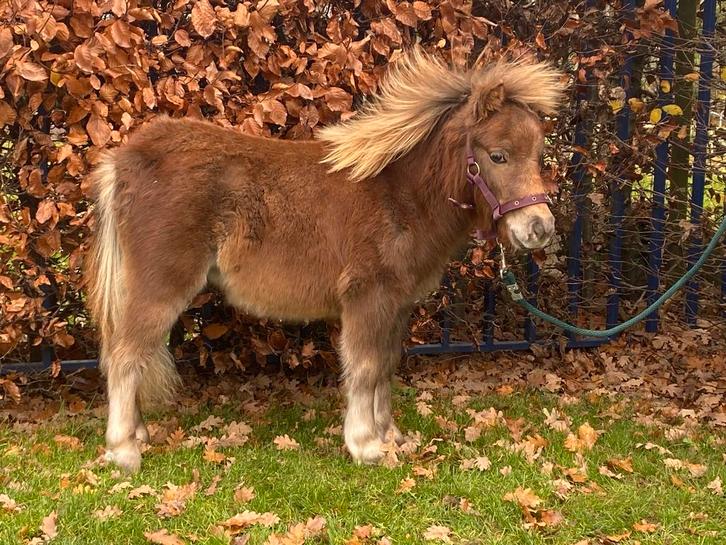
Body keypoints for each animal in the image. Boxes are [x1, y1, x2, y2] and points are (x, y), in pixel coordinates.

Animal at [86, 48, 565, 472]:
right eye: (497, 155)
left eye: (539, 154)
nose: (539, 228)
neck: (400, 197)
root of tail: (125, 161)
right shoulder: (368, 298)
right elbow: (365, 367)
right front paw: (366, 445)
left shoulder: (396, 304)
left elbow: (385, 366)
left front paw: (391, 436)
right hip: (160, 287)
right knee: (125, 354)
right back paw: (124, 451)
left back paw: (138, 435)